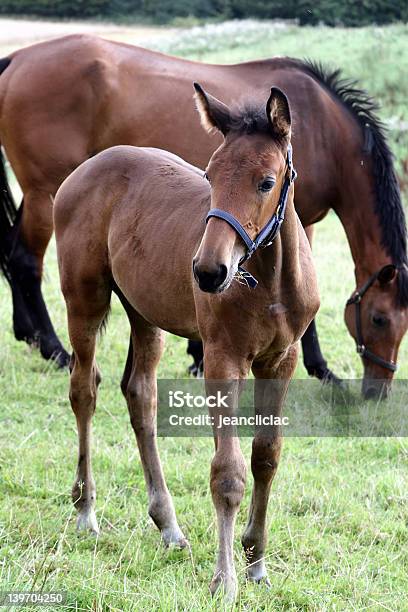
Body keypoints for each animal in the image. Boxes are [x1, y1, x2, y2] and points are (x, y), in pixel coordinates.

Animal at [0, 35, 408, 396]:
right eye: (379, 319)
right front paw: (322, 369)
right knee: (26, 261)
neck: (323, 127)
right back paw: (52, 347)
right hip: (44, 195)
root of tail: (17, 59)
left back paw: (27, 334)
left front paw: (196, 354)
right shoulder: (301, 219)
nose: (378, 390)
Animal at [54, 83, 320, 600]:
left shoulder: (282, 360)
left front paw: (257, 562)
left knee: (140, 395)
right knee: (84, 390)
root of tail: (87, 167)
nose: (208, 271)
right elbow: (228, 472)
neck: (270, 281)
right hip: (84, 300)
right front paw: (225, 579)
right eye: (210, 174)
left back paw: (168, 525)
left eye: (266, 182)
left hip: (144, 313)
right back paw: (85, 510)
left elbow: (266, 456)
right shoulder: (222, 359)